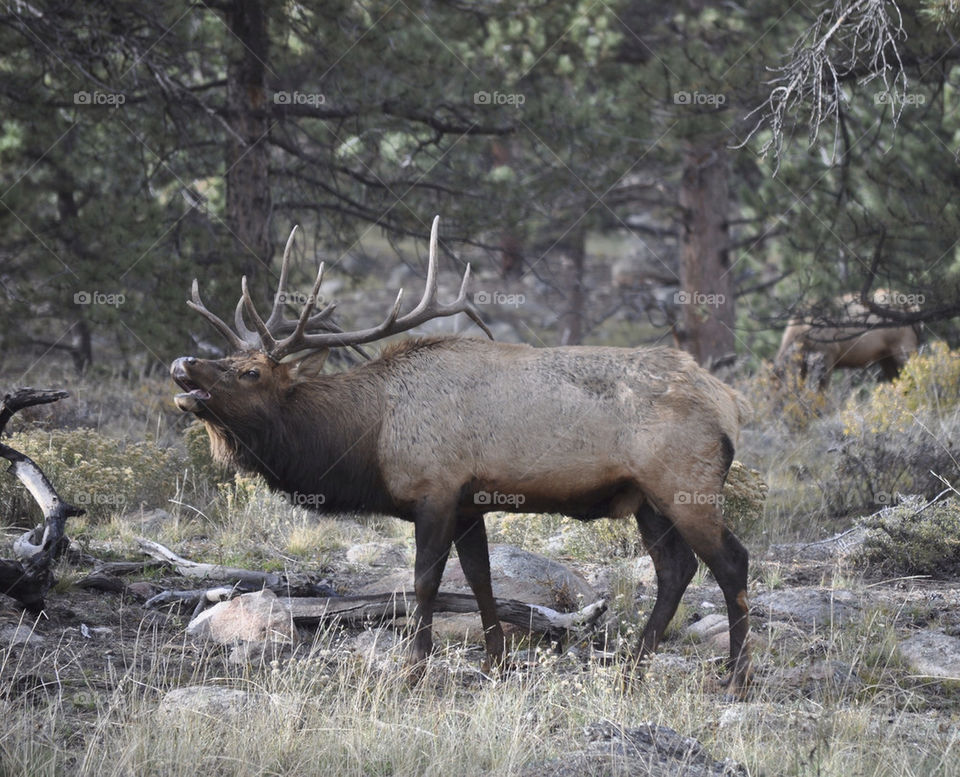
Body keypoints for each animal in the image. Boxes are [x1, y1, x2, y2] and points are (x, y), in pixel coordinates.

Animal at [171, 217, 753, 695]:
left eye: (251, 372)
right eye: (228, 359)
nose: (184, 362)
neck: (369, 439)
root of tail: (731, 402)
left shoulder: (436, 491)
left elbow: (424, 583)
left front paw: (413, 670)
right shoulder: (471, 504)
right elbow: (480, 580)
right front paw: (497, 662)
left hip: (684, 485)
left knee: (731, 562)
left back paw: (736, 676)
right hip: (646, 499)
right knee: (676, 569)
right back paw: (634, 667)